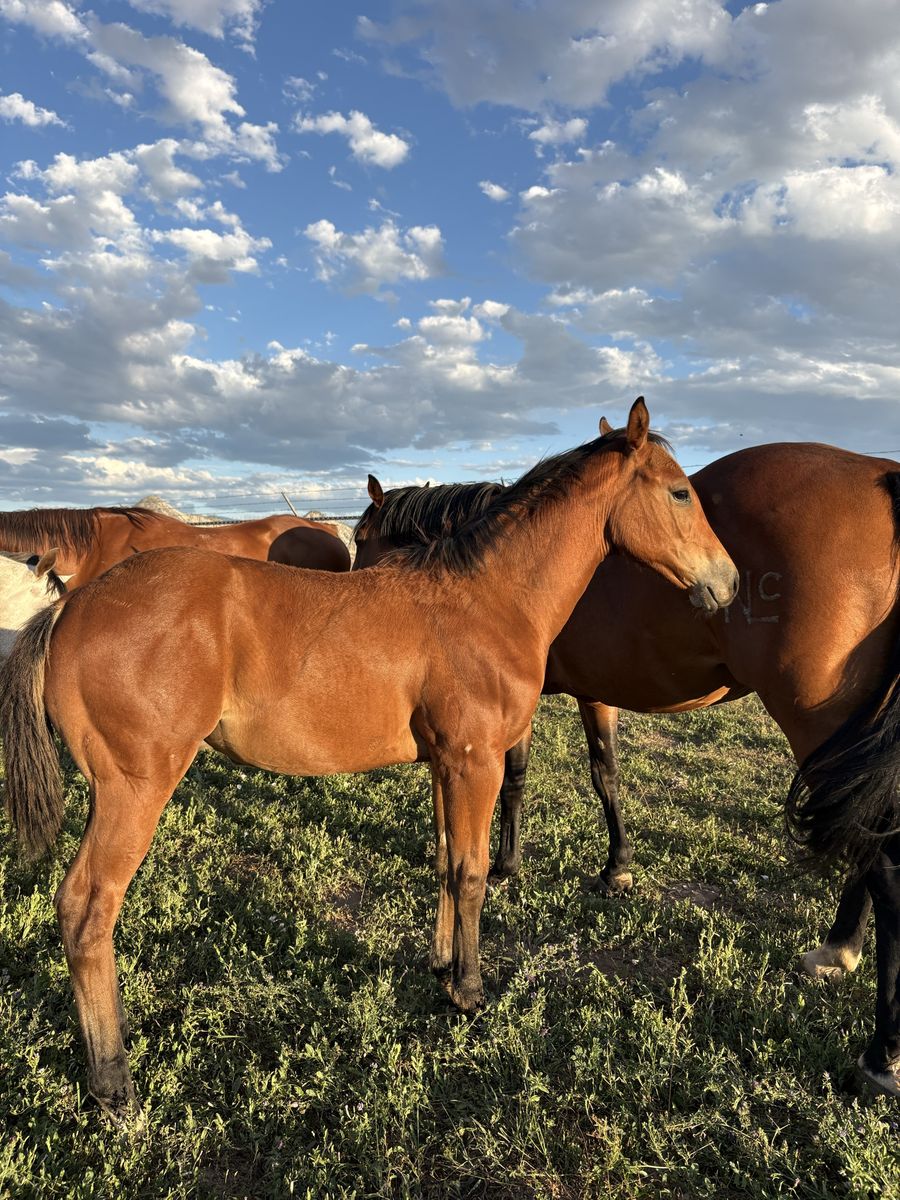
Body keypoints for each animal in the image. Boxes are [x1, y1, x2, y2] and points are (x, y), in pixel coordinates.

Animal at [0, 399, 737, 1120]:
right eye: (680, 491)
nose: (727, 583)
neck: (485, 598)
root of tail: (71, 608)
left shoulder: (447, 764)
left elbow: (446, 863)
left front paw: (441, 964)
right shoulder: (476, 763)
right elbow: (473, 873)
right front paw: (469, 990)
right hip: (135, 789)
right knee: (87, 910)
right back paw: (112, 1084)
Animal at [354, 438, 900, 1098]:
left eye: (361, 537)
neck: (498, 570)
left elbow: (538, 779)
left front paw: (518, 864)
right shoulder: (572, 697)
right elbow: (588, 775)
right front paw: (607, 866)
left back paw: (880, 1051)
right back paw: (838, 949)